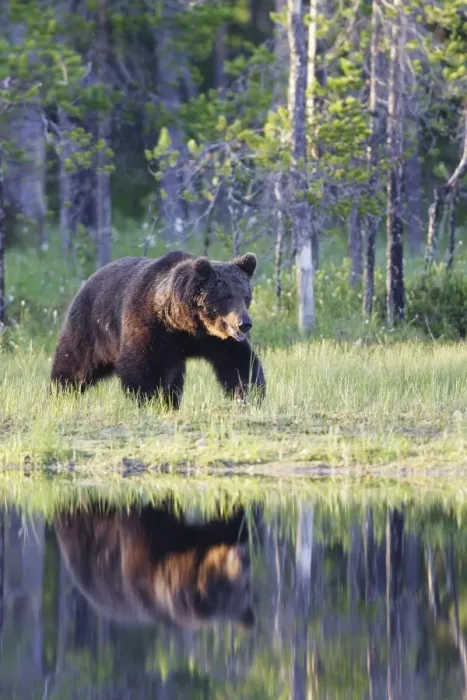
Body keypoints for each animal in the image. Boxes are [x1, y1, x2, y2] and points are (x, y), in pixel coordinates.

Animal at [51, 251, 265, 408]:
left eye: (246, 296)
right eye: (226, 296)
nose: (245, 323)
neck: (184, 324)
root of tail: (89, 279)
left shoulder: (215, 340)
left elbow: (239, 362)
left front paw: (249, 396)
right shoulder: (149, 326)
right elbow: (140, 366)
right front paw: (147, 401)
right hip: (91, 328)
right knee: (75, 363)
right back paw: (60, 393)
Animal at [54, 501, 255, 630]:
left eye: (245, 586)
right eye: (226, 590)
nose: (241, 555)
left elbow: (226, 525)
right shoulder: (139, 553)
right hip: (83, 531)